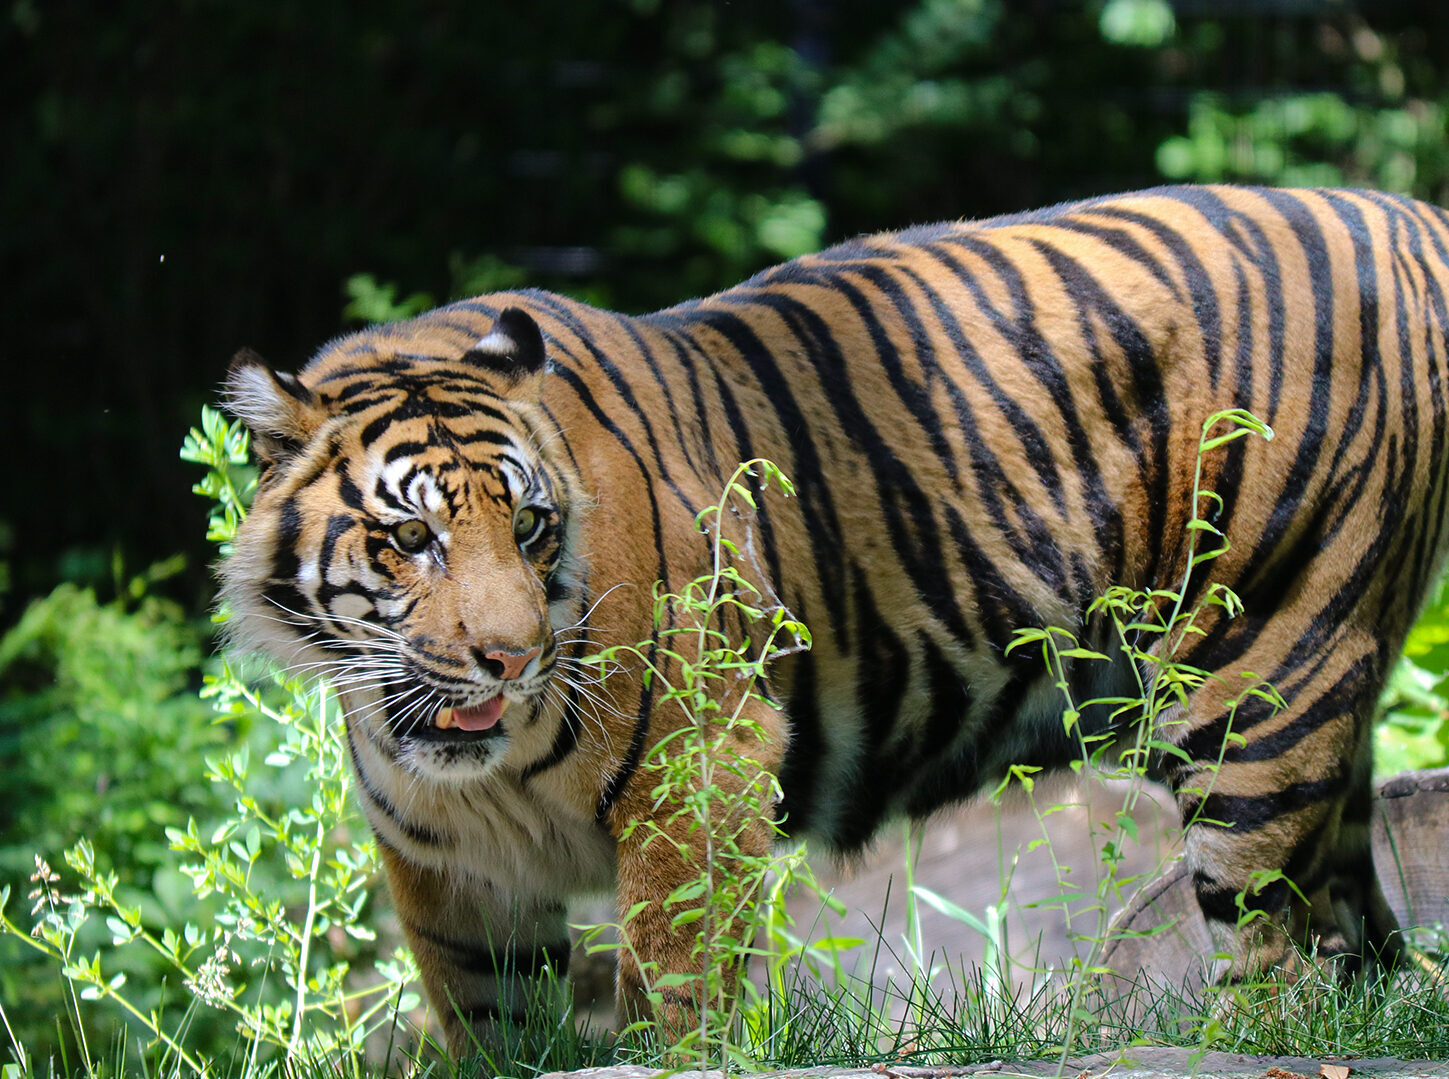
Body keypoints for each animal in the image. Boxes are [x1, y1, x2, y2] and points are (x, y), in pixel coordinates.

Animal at [217, 185, 1449, 1054]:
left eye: (528, 525)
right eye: (410, 538)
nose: (509, 657)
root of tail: (1399, 210)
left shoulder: (697, 764)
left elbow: (672, 979)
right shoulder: (451, 865)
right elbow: (485, 1018)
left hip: (1261, 670)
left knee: (1275, 953)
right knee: (1354, 920)